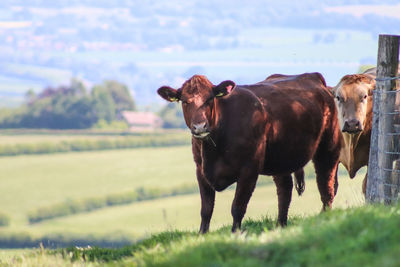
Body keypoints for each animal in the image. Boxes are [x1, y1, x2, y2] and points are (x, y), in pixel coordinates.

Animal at [156, 73, 340, 232]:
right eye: (184, 101)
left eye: (210, 99)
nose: (200, 127)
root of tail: (314, 77)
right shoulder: (200, 170)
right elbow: (206, 210)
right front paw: (202, 235)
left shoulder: (249, 170)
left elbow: (237, 207)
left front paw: (235, 234)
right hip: (281, 158)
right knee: (285, 190)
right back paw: (280, 224)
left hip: (329, 147)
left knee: (326, 185)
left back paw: (326, 218)